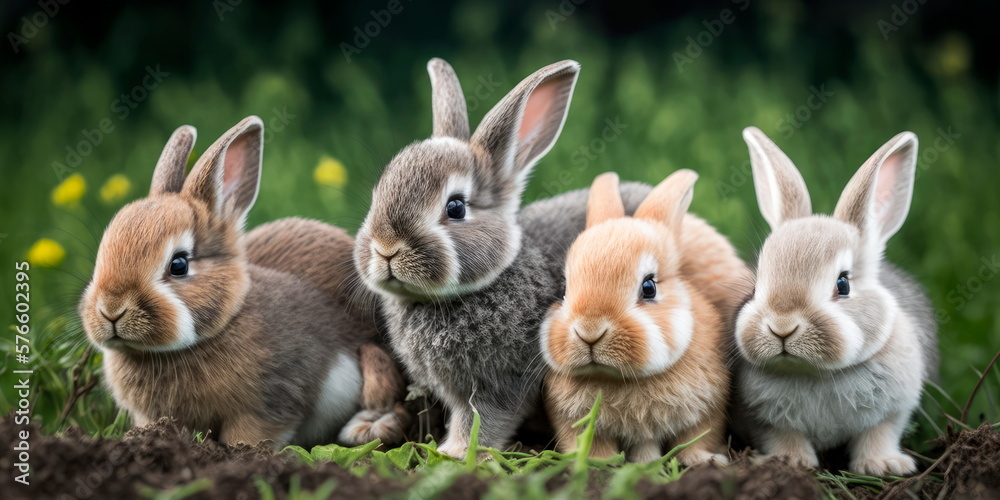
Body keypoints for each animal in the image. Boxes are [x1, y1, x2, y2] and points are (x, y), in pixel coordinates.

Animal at [353, 58, 652, 458]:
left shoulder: (500, 387)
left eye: (456, 207)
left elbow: (481, 420)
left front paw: (456, 453)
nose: (386, 248)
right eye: (377, 195)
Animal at [542, 170, 743, 465]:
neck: (619, 378)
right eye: (564, 289)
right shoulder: (573, 419)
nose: (590, 332)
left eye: (649, 287)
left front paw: (705, 460)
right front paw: (598, 463)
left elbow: (697, 437)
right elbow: (590, 443)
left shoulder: (708, 407)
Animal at [732, 127, 939, 476]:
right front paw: (788, 462)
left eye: (843, 284)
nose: (782, 326)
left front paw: (883, 465)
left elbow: (878, 434)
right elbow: (783, 437)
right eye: (756, 286)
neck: (816, 372)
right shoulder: (764, 419)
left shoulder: (893, 411)